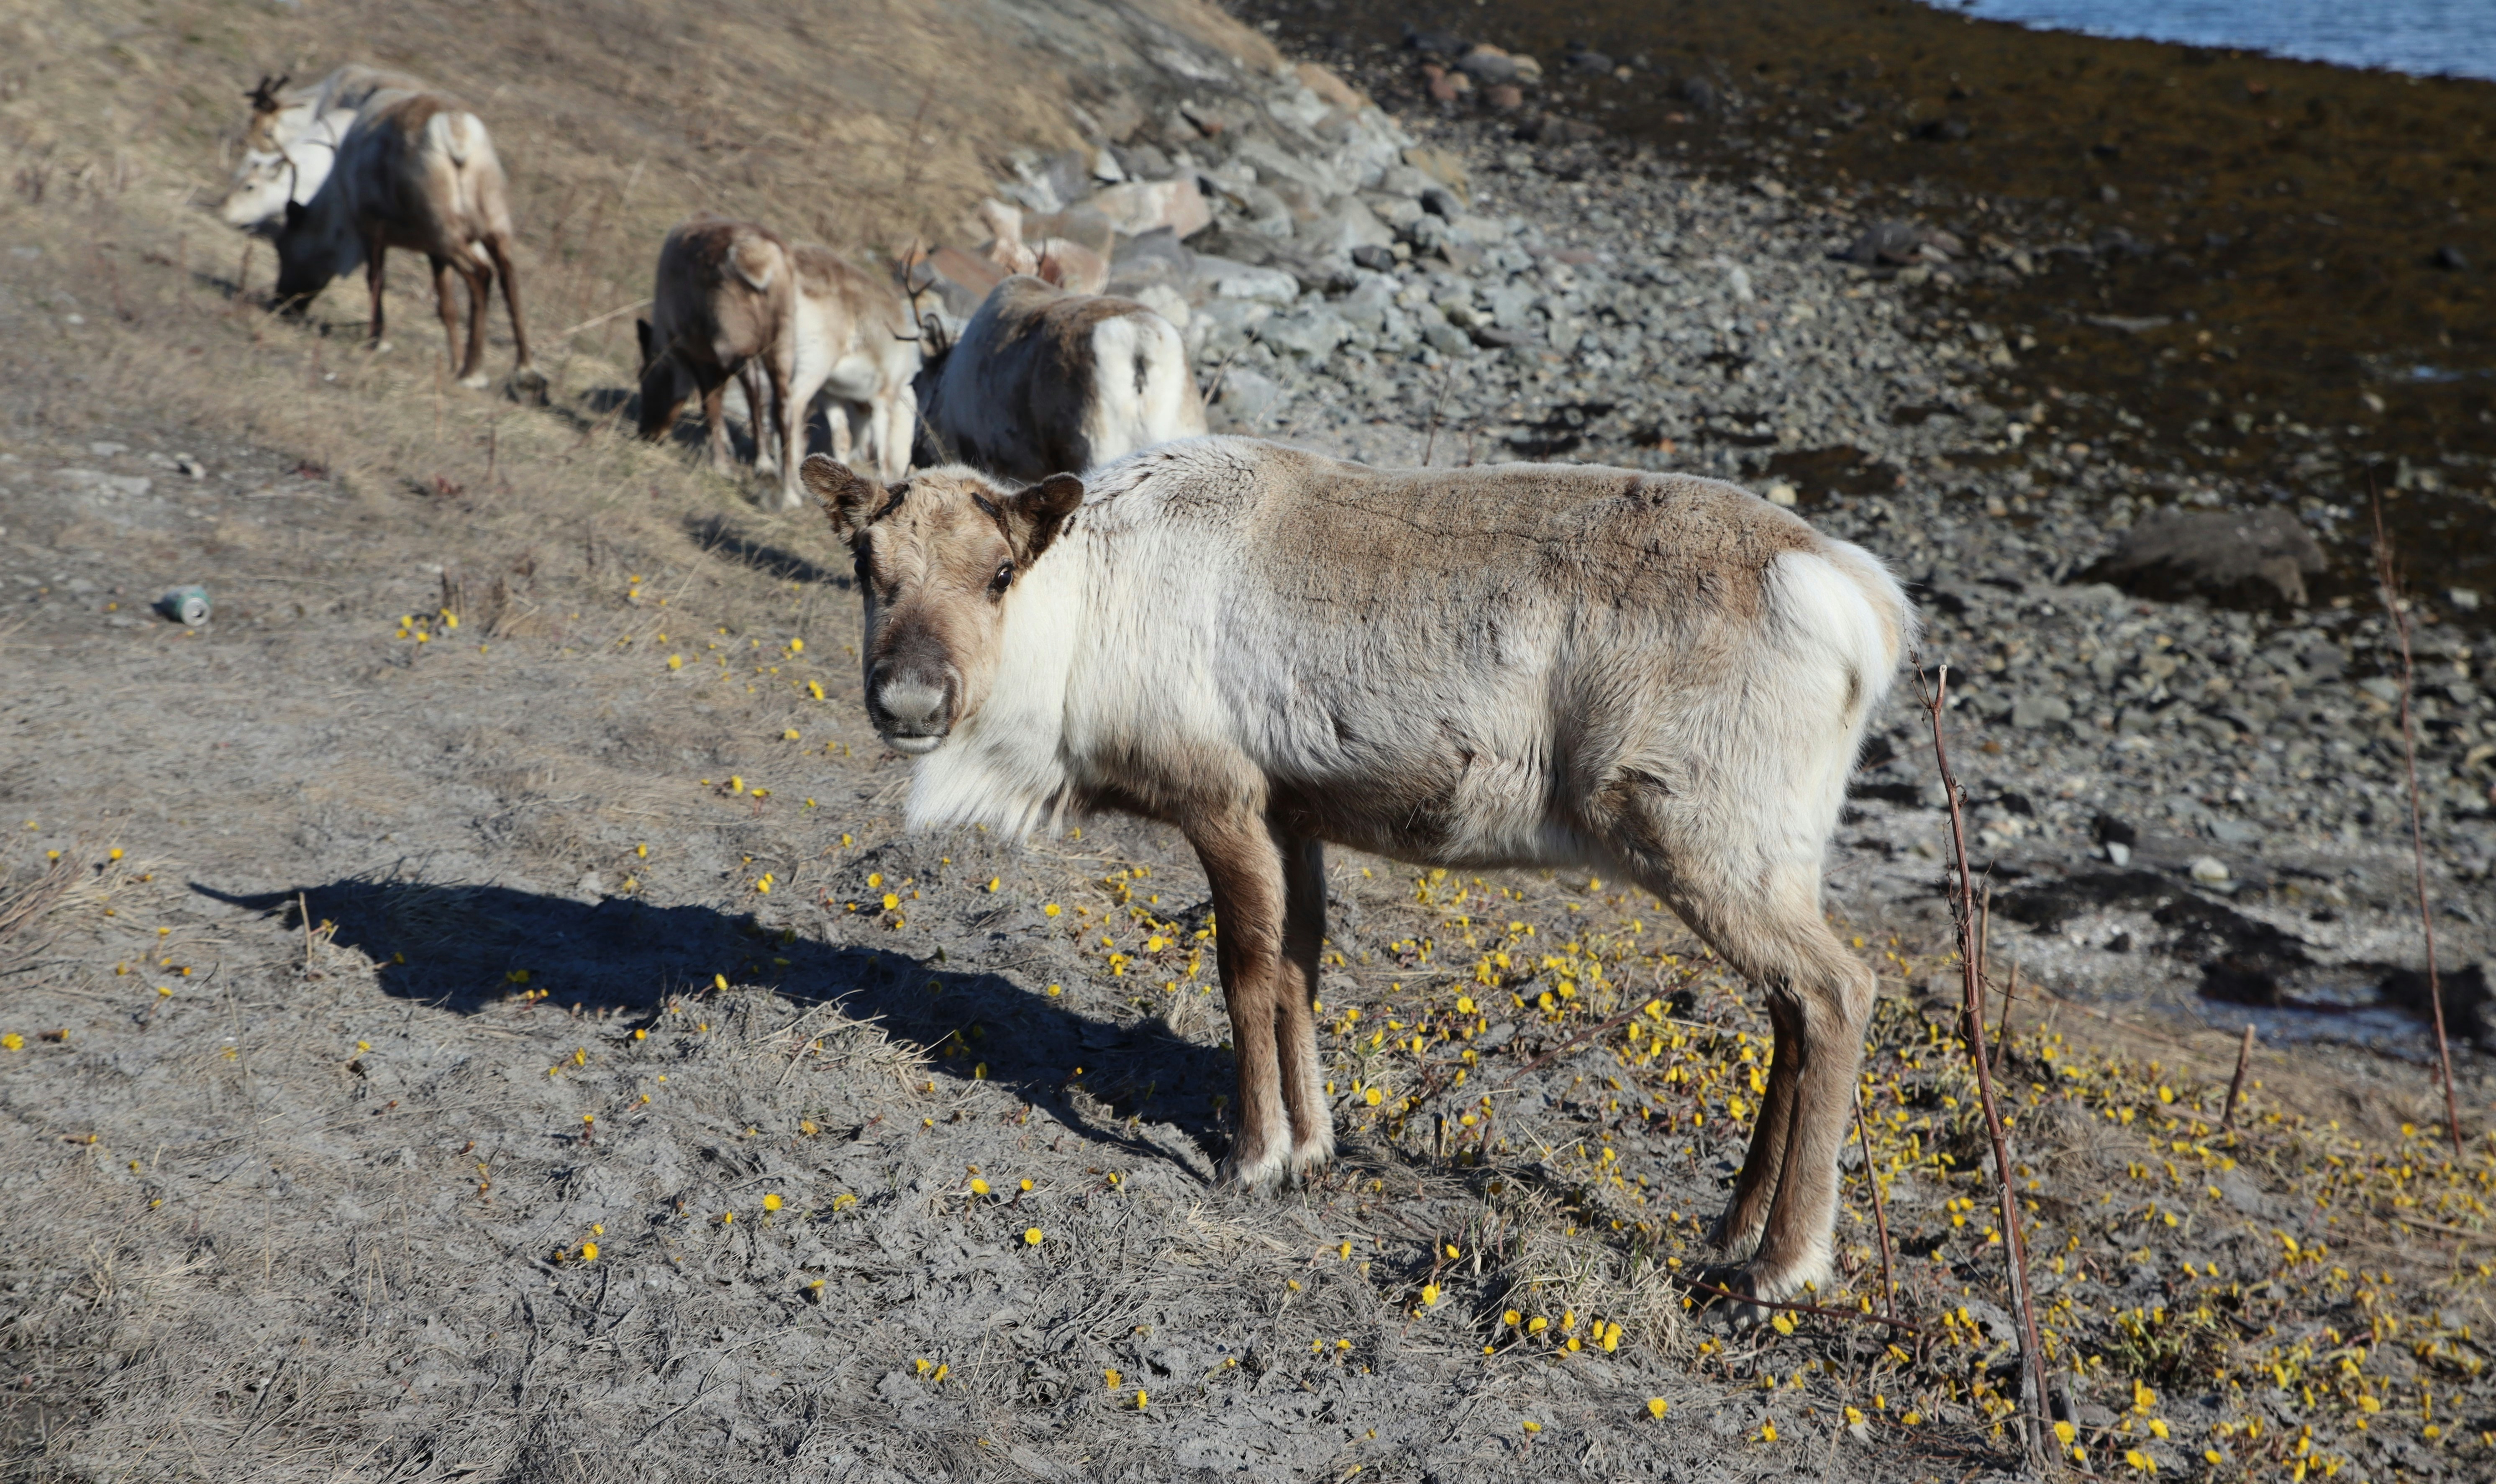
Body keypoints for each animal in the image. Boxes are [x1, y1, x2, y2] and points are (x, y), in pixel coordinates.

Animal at [269, 80, 538, 393]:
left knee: (481, 274)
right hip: (492, 222)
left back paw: (473, 373)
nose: (281, 303)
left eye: (282, 245)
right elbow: (447, 307)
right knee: (508, 274)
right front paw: (454, 361)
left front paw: (378, 340)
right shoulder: (433, 251)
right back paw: (525, 371)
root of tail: (457, 129)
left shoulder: (371, 227)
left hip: (444, 228)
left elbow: (376, 280)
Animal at [637, 219, 919, 511]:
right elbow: (874, 450)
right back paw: (786, 487)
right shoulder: (878, 397)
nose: (646, 433)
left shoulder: (838, 395)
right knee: (787, 407)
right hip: (798, 361)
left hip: (774, 351)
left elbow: (846, 440)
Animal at [798, 437, 1914, 1317]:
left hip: (1694, 829)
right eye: (866, 564)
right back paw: (1728, 1232)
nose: (910, 698)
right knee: (1789, 1009)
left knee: (1837, 989)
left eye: (997, 571)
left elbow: (1246, 973)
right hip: (1769, 853)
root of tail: (1864, 606)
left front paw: (1252, 1156)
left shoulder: (1224, 797)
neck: (1077, 632)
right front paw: (1314, 1145)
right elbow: (1300, 969)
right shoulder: (1296, 814)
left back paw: (1783, 1266)